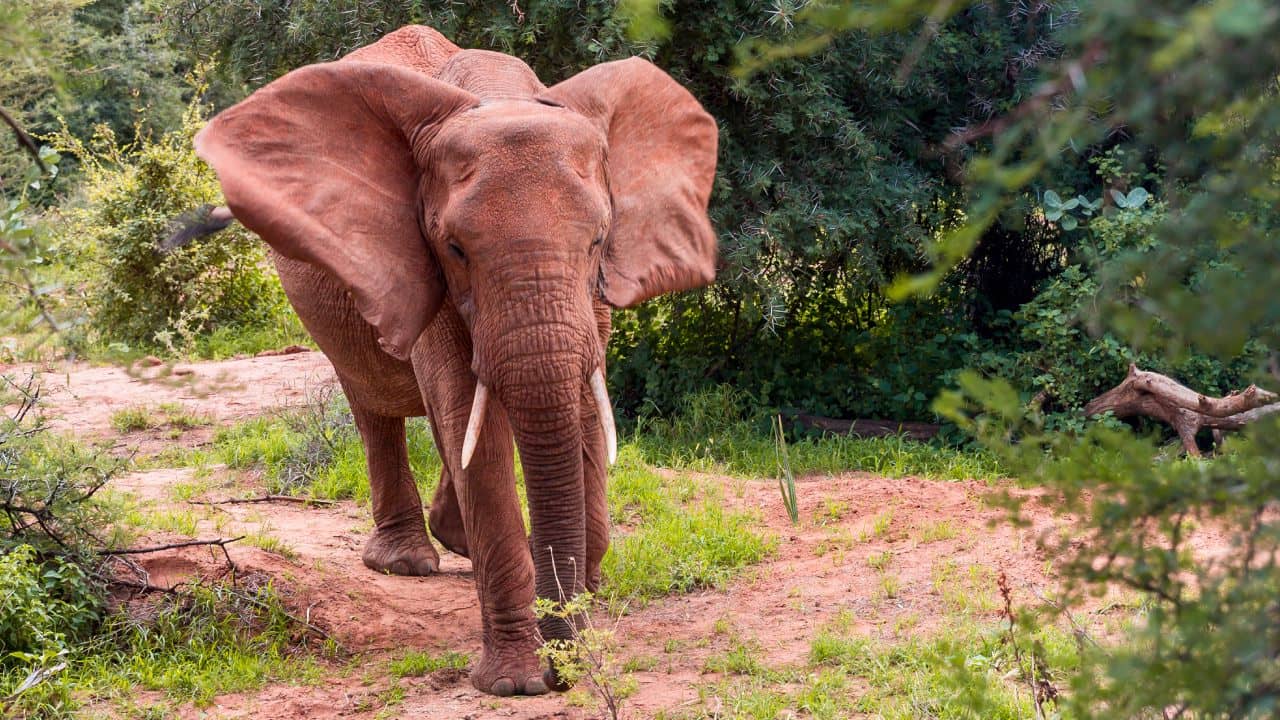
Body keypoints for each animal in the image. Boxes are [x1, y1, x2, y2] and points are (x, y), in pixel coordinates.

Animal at [193, 25, 718, 696]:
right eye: (455, 248)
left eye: (599, 239)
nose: (565, 673)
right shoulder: (420, 263)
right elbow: (474, 423)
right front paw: (517, 683)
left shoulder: (595, 291)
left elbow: (577, 408)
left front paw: (584, 611)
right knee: (377, 408)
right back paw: (409, 559)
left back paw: (459, 542)